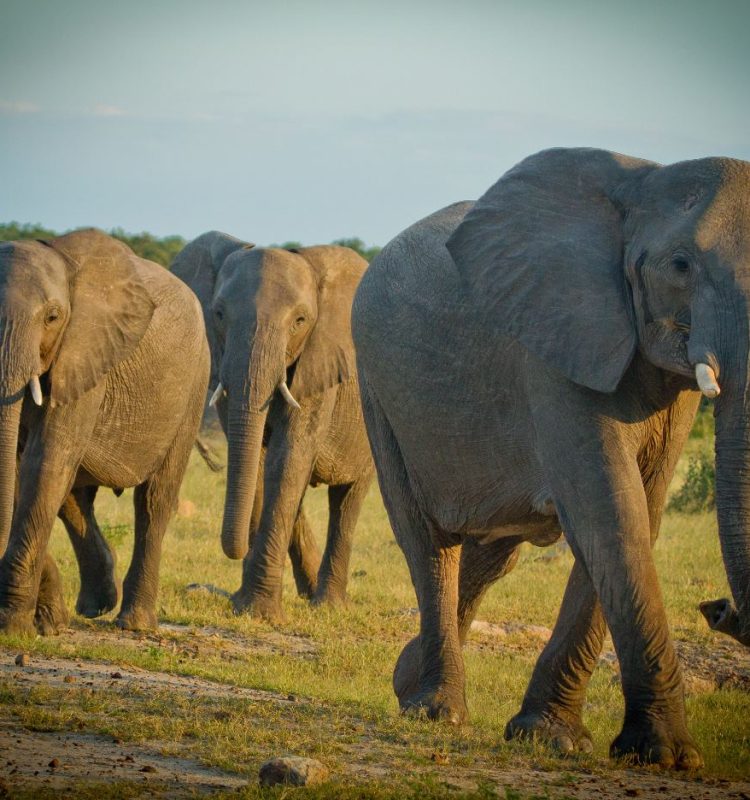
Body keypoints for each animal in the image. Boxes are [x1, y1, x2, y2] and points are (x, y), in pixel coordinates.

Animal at [0, 228, 210, 636]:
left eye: (53, 317)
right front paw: (46, 623)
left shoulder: (85, 353)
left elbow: (44, 463)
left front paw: (13, 627)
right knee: (75, 496)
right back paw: (96, 604)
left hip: (195, 385)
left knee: (154, 500)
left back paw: (134, 623)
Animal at [169, 230, 372, 620]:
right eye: (218, 314)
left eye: (300, 321)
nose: (235, 549)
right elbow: (260, 463)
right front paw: (245, 605)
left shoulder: (319, 363)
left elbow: (288, 458)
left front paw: (258, 612)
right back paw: (309, 592)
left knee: (348, 499)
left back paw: (329, 605)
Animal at [356, 148, 750, 768]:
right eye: (681, 265)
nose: (717, 608)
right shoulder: (556, 346)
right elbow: (610, 512)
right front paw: (666, 756)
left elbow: (637, 512)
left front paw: (550, 737)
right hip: (378, 389)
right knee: (428, 541)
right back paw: (435, 709)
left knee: (494, 552)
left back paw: (407, 677)